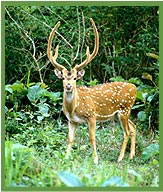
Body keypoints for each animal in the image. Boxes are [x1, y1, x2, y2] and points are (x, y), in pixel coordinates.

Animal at [47, 18, 138, 164]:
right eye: (63, 78)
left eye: (74, 78)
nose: (68, 86)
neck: (73, 108)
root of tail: (135, 88)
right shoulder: (72, 120)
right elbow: (70, 138)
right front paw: (66, 157)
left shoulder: (92, 115)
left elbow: (92, 137)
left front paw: (95, 159)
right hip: (118, 114)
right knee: (133, 127)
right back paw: (131, 156)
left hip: (125, 109)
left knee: (127, 132)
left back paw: (120, 158)